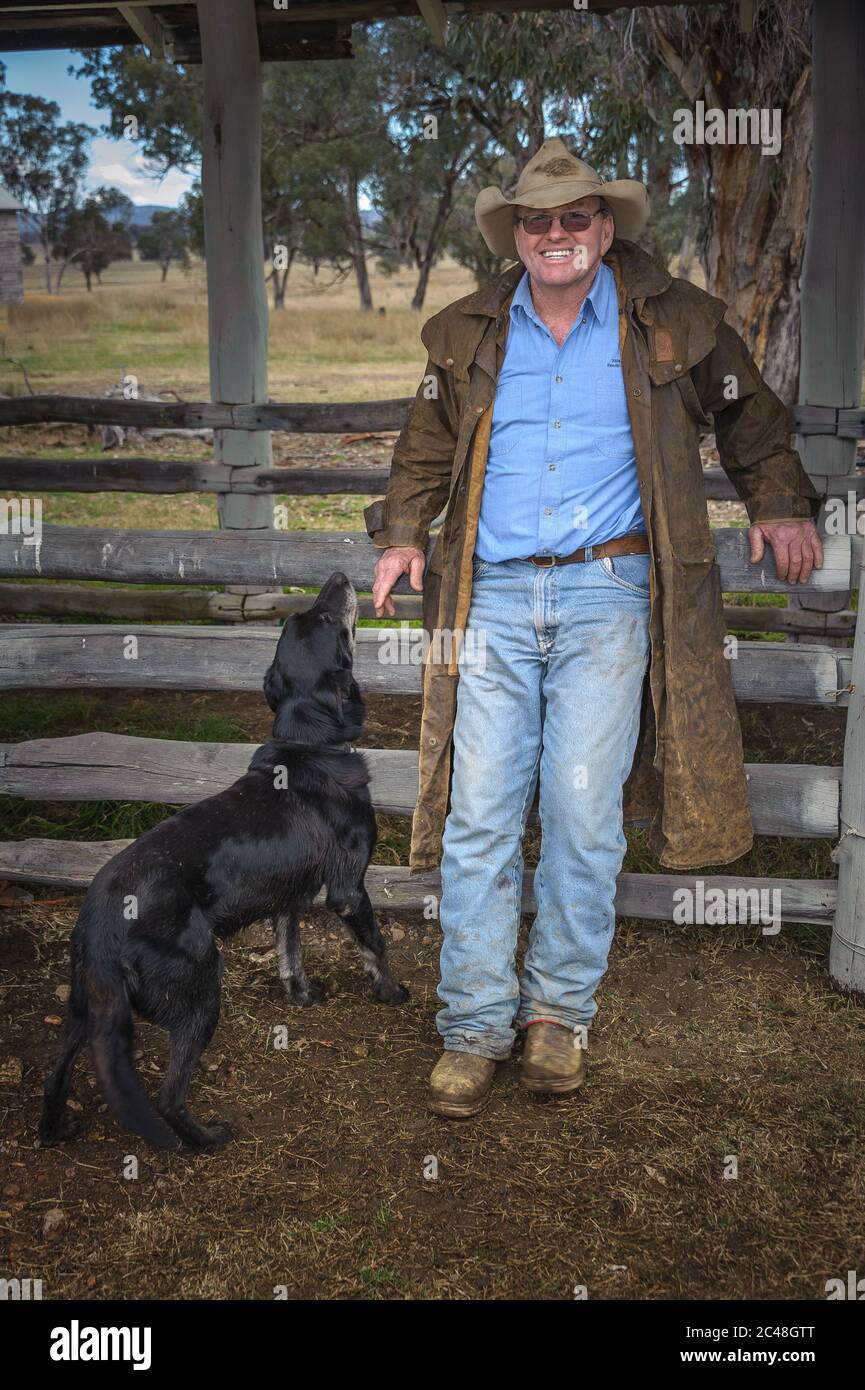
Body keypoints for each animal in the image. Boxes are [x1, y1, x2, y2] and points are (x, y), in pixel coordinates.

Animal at [38, 569, 408, 1156]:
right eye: (330, 619)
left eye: (311, 615)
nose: (339, 576)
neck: (309, 741)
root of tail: (101, 922)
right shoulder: (349, 891)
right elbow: (375, 947)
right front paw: (391, 993)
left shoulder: (289, 900)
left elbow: (290, 956)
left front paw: (303, 999)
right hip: (201, 987)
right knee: (167, 1096)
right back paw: (207, 1139)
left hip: (84, 1008)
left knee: (56, 1078)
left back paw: (55, 1131)